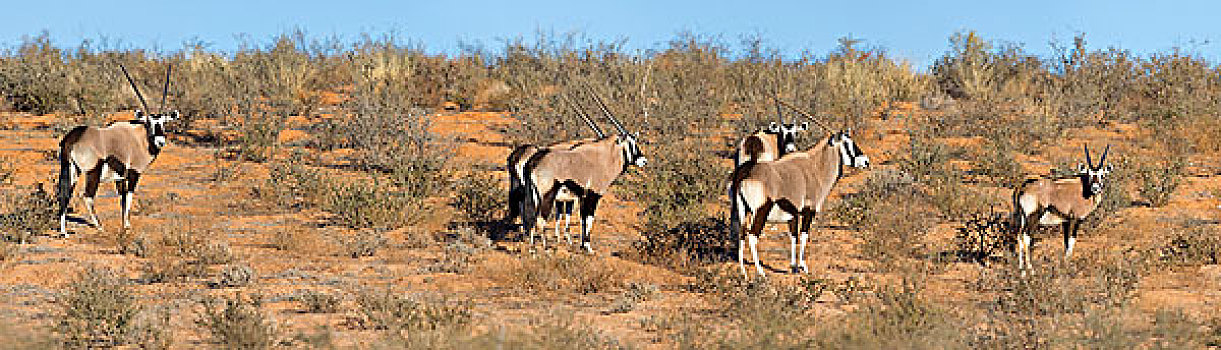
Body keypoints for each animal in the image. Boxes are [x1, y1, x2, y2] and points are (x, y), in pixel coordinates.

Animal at [55, 65, 177, 236]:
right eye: (149, 123)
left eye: (164, 122)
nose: (160, 141)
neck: (139, 137)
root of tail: (73, 138)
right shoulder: (133, 173)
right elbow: (129, 197)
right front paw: (127, 226)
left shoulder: (119, 178)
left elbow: (122, 199)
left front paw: (124, 224)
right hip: (93, 172)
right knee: (87, 196)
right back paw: (99, 226)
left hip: (71, 169)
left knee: (65, 193)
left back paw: (64, 232)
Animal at [520, 87, 644, 252]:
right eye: (632, 144)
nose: (643, 160)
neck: (604, 157)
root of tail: (534, 160)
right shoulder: (593, 195)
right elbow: (589, 219)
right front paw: (588, 247)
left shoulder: (582, 197)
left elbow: (583, 219)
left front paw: (582, 245)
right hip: (547, 196)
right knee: (540, 219)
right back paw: (545, 249)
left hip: (534, 196)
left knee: (532, 217)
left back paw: (533, 249)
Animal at [722, 125, 869, 278]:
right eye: (847, 143)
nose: (866, 161)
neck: (815, 167)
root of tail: (744, 175)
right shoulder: (808, 211)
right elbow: (803, 236)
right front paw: (803, 267)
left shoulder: (792, 214)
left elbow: (793, 236)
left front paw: (794, 267)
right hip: (761, 211)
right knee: (752, 236)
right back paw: (761, 272)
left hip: (742, 211)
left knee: (741, 234)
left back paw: (743, 272)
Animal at [1010, 143, 1118, 273]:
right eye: (1089, 175)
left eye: (1102, 175)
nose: (1095, 188)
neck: (1083, 188)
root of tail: (1022, 186)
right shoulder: (1075, 219)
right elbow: (1071, 241)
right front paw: (1068, 266)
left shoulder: (1065, 221)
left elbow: (1066, 242)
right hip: (1033, 217)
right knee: (1026, 236)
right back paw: (1031, 270)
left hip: (1021, 217)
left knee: (1019, 236)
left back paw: (1021, 270)